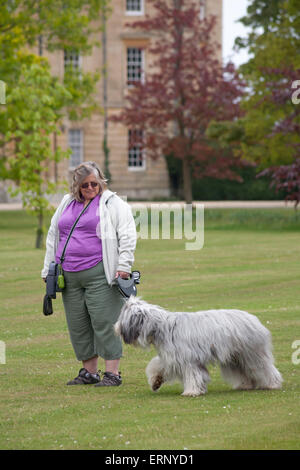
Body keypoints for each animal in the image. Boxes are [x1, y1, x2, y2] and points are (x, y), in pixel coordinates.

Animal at [113, 298, 282, 396]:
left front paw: (191, 391)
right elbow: (158, 365)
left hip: (251, 353)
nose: (116, 328)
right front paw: (156, 381)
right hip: (234, 358)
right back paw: (245, 385)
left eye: (123, 317)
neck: (161, 327)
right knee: (243, 372)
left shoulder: (187, 359)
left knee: (264, 368)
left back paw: (272, 384)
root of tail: (254, 319)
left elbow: (193, 375)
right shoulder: (171, 357)